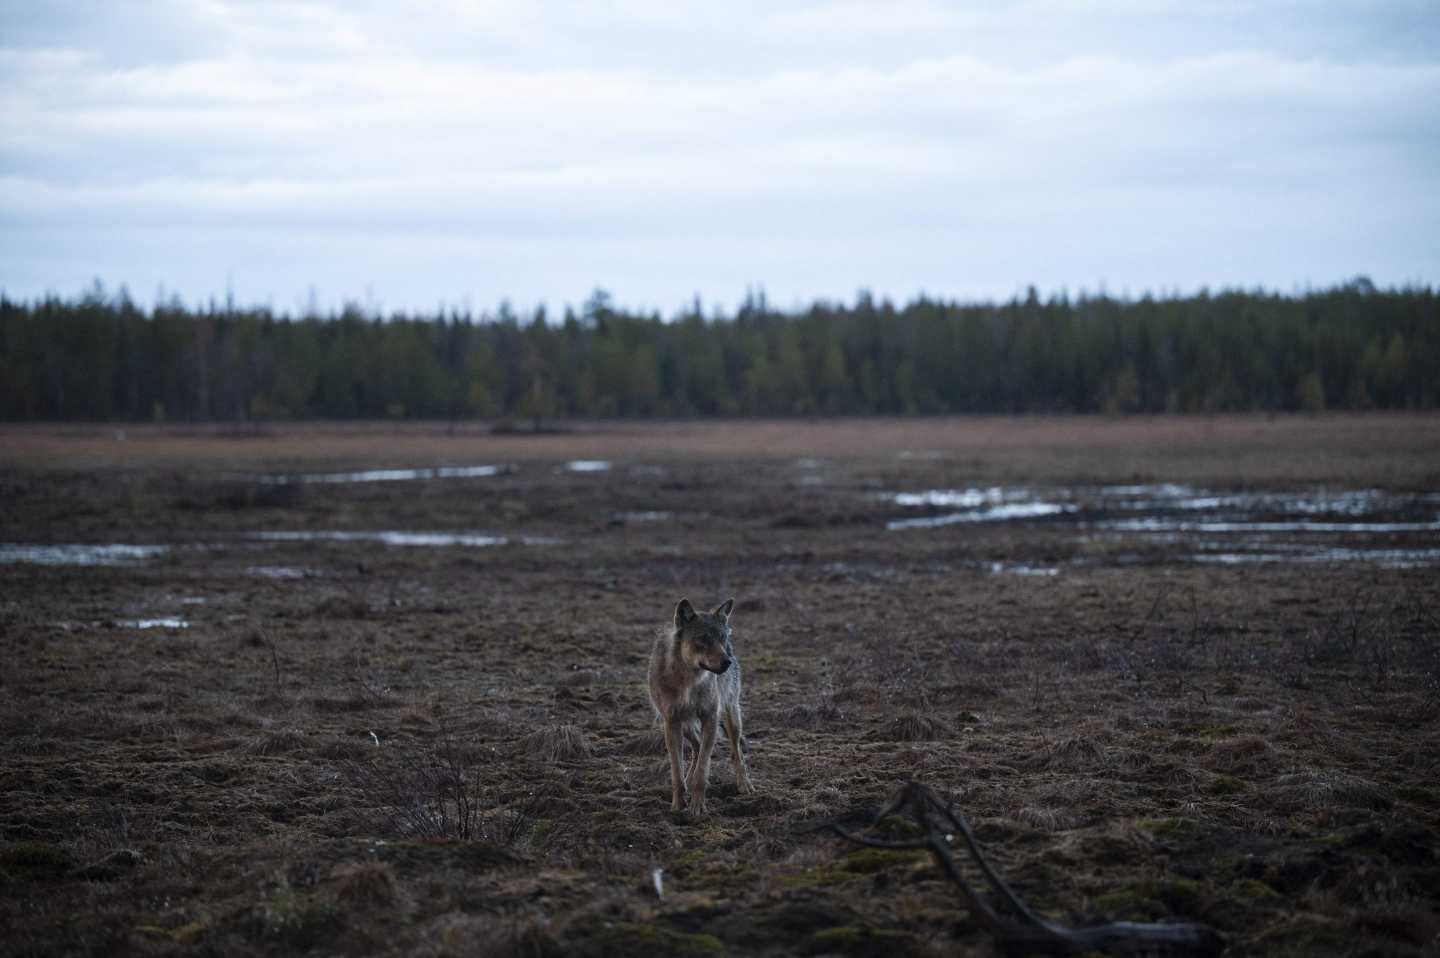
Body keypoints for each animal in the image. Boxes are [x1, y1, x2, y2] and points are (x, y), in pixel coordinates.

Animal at [648, 597, 754, 812]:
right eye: (703, 639)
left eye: (721, 638)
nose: (727, 662)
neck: (688, 681)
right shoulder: (671, 723)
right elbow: (676, 771)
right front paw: (678, 806)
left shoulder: (710, 719)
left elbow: (703, 769)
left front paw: (698, 807)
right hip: (686, 725)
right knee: (696, 746)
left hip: (731, 716)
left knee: (736, 752)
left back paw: (744, 784)